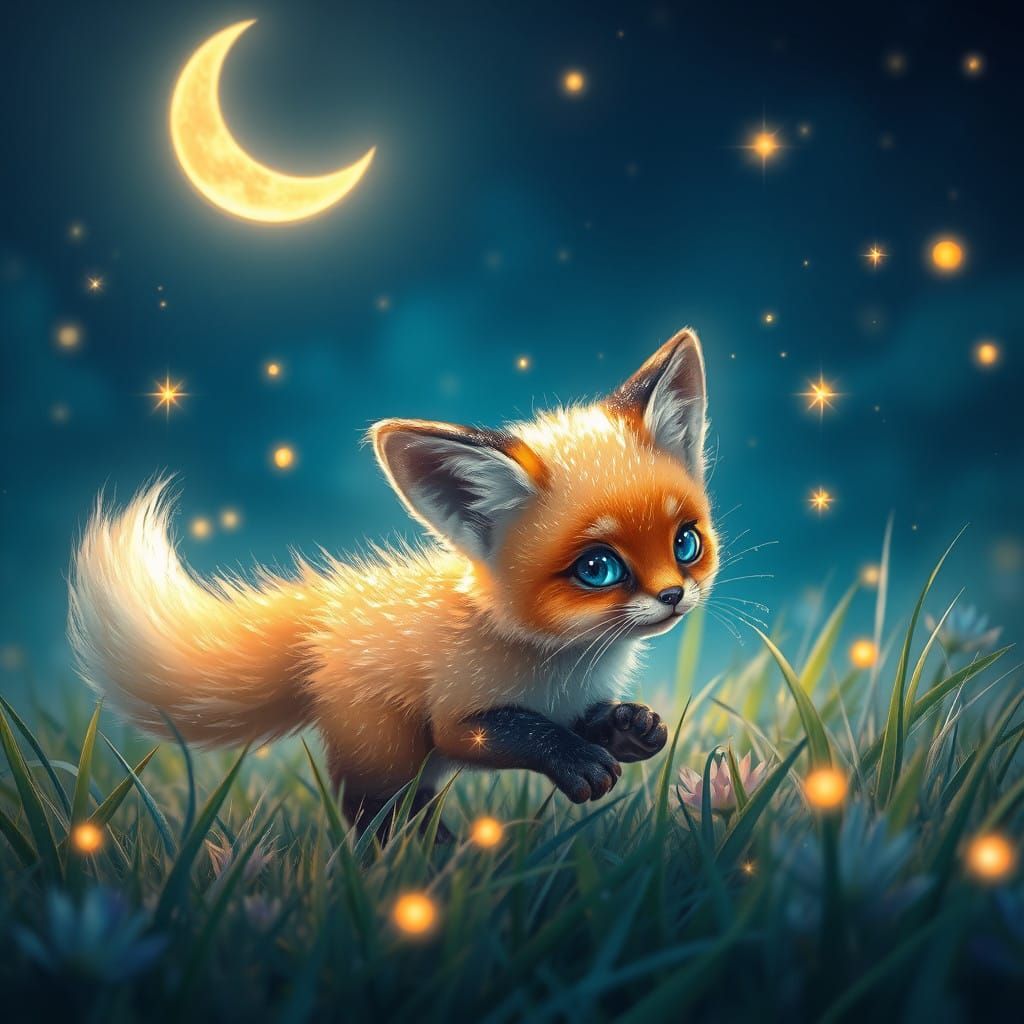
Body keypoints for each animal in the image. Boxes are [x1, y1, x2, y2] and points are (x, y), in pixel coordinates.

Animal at [68, 327, 719, 834]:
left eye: (685, 543)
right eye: (598, 568)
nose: (673, 597)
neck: (560, 659)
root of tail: (328, 616)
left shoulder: (570, 698)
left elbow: (587, 718)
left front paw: (630, 728)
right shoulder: (459, 716)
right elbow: (516, 728)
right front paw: (577, 761)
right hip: (388, 748)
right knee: (374, 811)